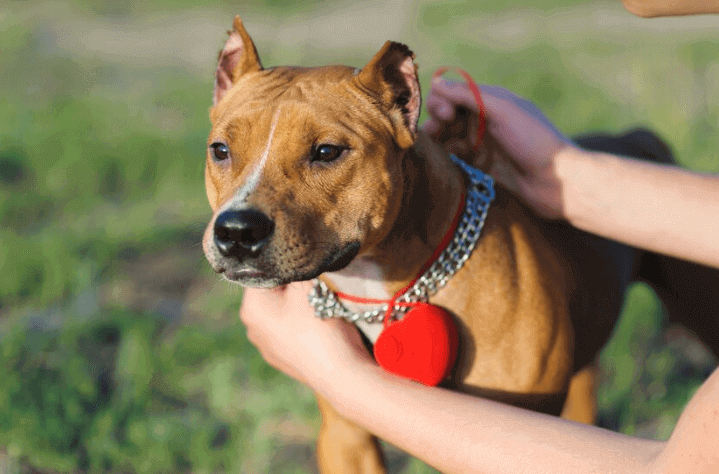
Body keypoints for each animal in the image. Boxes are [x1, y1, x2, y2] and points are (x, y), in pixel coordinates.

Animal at [201, 16, 719, 474]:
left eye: (327, 152)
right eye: (220, 150)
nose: (237, 231)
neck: (385, 288)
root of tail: (635, 137)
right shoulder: (347, 437)